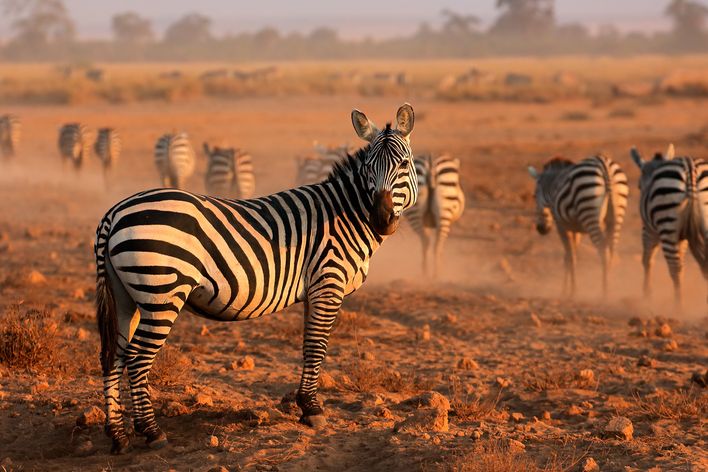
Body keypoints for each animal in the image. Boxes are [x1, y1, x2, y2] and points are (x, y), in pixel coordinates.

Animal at [92, 104, 418, 454]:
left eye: (404, 164)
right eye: (369, 167)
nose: (381, 219)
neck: (344, 215)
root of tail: (113, 213)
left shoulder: (315, 288)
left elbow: (308, 345)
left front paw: (305, 406)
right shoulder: (328, 281)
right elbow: (317, 346)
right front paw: (313, 410)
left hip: (125, 294)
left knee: (113, 356)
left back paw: (118, 435)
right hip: (161, 293)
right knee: (137, 359)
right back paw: (152, 432)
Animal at [524, 154, 632, 296]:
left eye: (534, 195)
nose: (541, 229)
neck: (553, 186)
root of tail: (604, 165)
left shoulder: (561, 225)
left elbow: (570, 257)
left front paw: (571, 292)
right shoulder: (575, 228)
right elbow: (571, 255)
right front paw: (566, 289)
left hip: (590, 212)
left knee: (602, 248)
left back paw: (604, 292)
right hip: (616, 214)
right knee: (612, 248)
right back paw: (612, 286)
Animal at [632, 144, 708, 306]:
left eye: (639, 186)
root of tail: (690, 168)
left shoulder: (649, 230)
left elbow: (647, 259)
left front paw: (647, 295)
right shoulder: (684, 237)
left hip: (667, 227)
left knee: (674, 268)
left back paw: (678, 307)